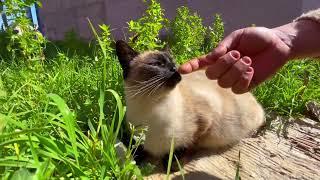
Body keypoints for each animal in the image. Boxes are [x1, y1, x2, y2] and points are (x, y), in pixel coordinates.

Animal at [115, 40, 264, 162]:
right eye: (157, 64)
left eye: (173, 63)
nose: (174, 69)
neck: (151, 105)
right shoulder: (135, 136)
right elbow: (138, 149)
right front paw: (136, 160)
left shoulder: (205, 121)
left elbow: (186, 146)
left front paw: (171, 164)